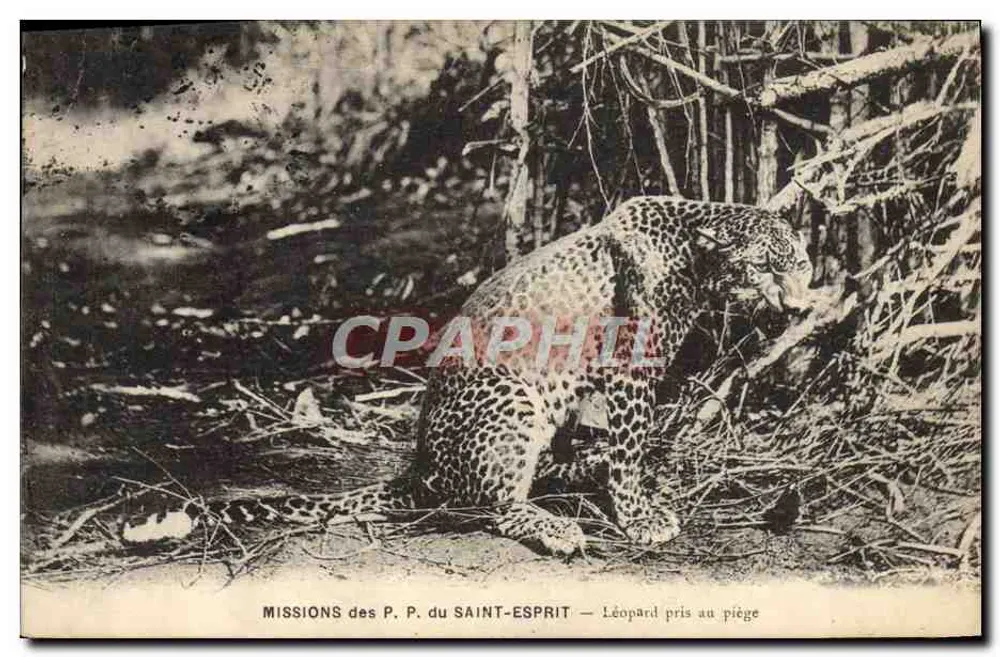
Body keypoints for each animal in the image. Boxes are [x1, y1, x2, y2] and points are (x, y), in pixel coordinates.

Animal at [123, 196, 814, 556]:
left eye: (802, 263)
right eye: (765, 266)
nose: (800, 305)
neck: (696, 257)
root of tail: (419, 465)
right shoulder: (628, 372)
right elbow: (628, 450)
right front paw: (639, 516)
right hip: (512, 397)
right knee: (496, 505)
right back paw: (555, 527)